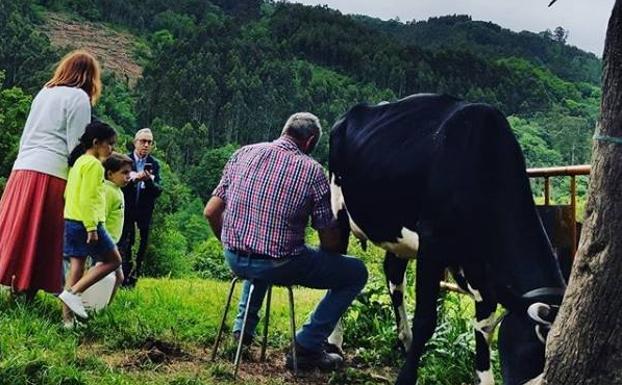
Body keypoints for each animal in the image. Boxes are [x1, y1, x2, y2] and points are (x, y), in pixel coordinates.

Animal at [330, 94, 568, 384]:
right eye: (537, 347)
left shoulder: (480, 266)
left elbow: (485, 325)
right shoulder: (432, 243)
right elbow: (426, 319)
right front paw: (406, 377)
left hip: (397, 234)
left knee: (393, 274)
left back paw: (404, 340)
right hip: (337, 211)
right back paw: (335, 341)